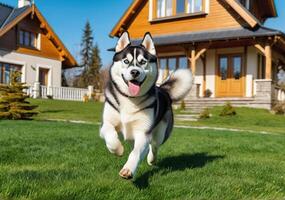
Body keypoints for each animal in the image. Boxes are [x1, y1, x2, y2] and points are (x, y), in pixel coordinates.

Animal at [98, 31, 192, 180]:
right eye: (126, 61)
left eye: (143, 62)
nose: (135, 72)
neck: (130, 99)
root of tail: (162, 89)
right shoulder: (106, 124)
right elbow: (110, 136)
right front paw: (118, 149)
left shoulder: (143, 133)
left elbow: (136, 153)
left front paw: (128, 169)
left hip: (161, 132)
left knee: (153, 146)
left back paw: (151, 159)